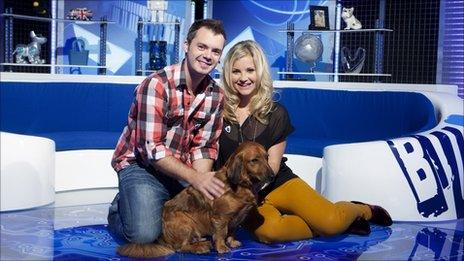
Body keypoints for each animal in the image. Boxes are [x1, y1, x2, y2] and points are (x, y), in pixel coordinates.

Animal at [118, 140, 274, 256]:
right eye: (254, 160)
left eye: (267, 157)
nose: (272, 176)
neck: (241, 185)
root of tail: (162, 238)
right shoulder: (220, 217)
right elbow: (221, 233)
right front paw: (222, 247)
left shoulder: (236, 219)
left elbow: (231, 232)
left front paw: (232, 242)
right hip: (186, 224)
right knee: (180, 248)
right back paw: (201, 247)